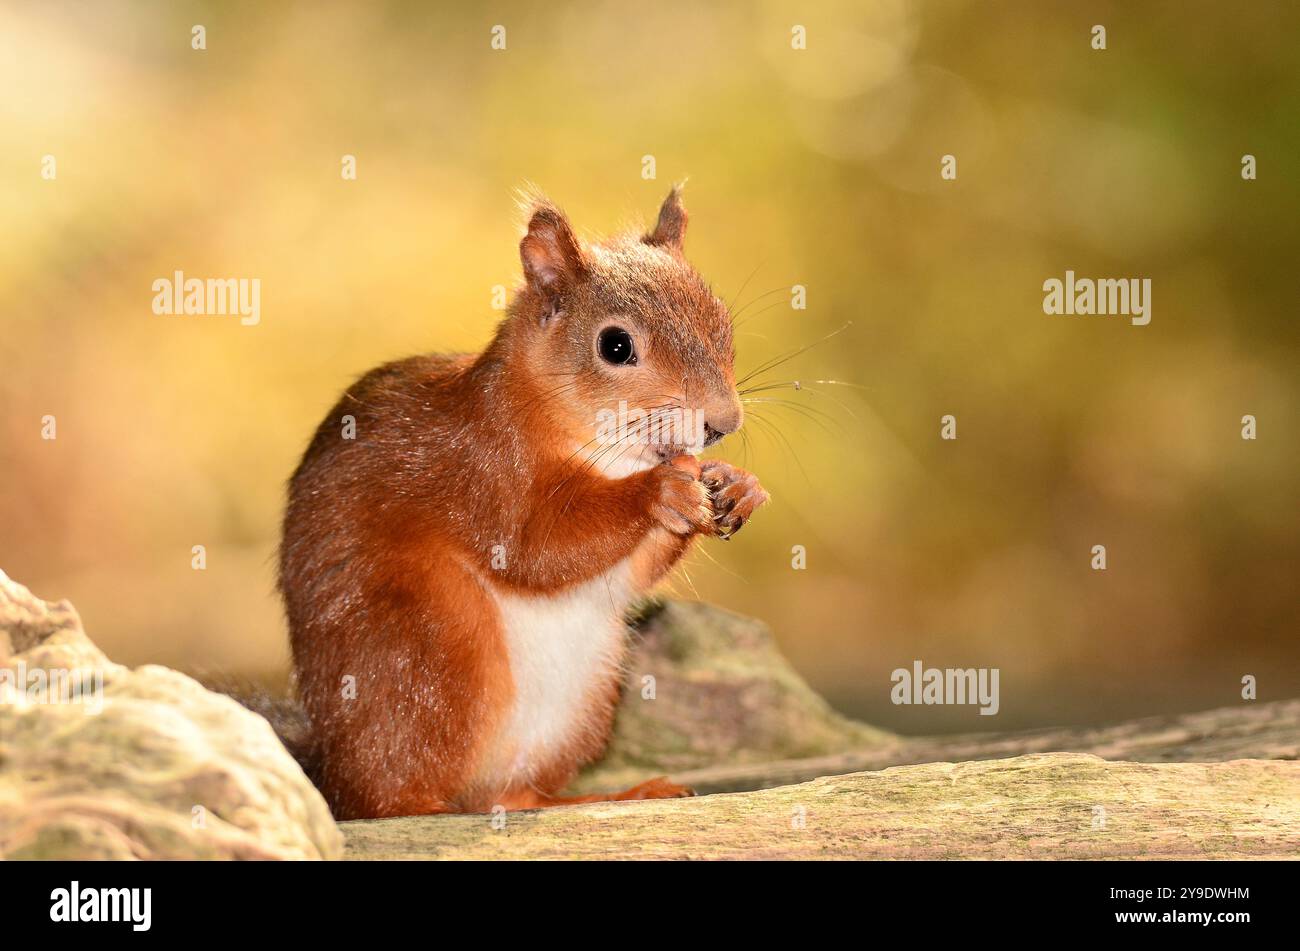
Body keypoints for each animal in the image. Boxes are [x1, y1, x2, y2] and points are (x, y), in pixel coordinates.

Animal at [277, 187, 769, 819]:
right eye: (615, 345)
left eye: (722, 320)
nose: (722, 422)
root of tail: (330, 768)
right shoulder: (479, 473)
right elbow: (535, 550)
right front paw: (660, 492)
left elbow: (632, 570)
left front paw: (738, 485)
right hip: (431, 647)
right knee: (390, 796)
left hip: (582, 697)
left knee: (518, 793)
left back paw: (610, 795)